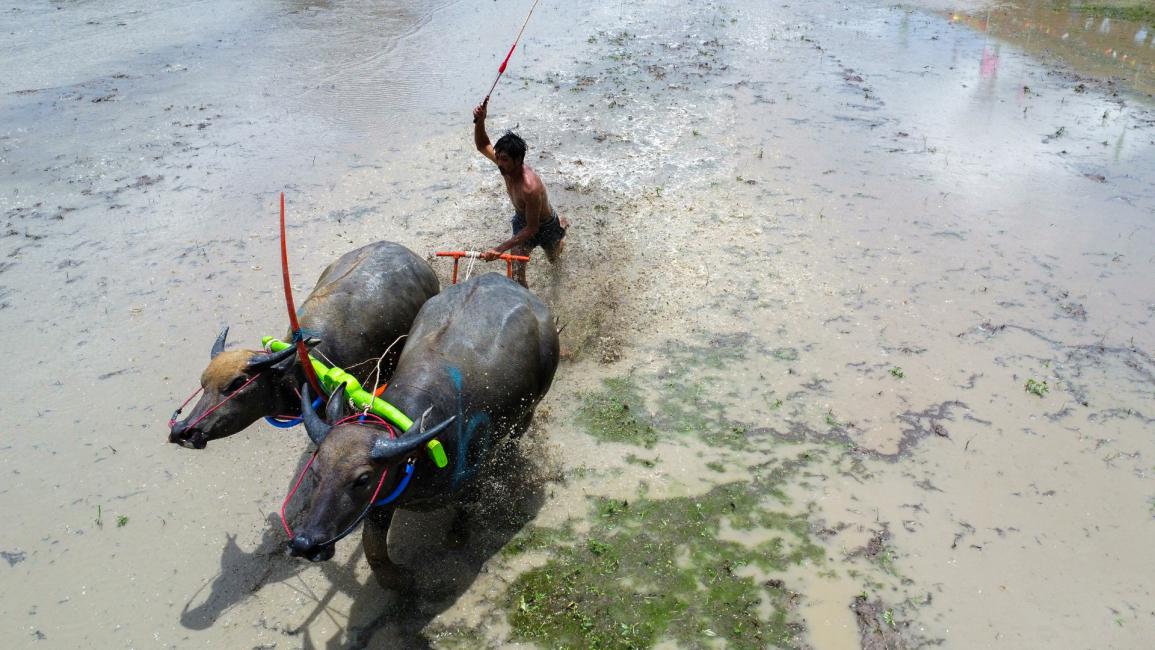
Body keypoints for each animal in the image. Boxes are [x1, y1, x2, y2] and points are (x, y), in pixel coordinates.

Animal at [287, 273, 559, 591]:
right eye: (315, 471)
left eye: (363, 479)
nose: (305, 543)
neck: (418, 453)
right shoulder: (382, 500)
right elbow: (373, 548)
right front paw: (400, 579)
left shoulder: (471, 481)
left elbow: (464, 514)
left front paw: (456, 538)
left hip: (532, 404)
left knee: (517, 434)